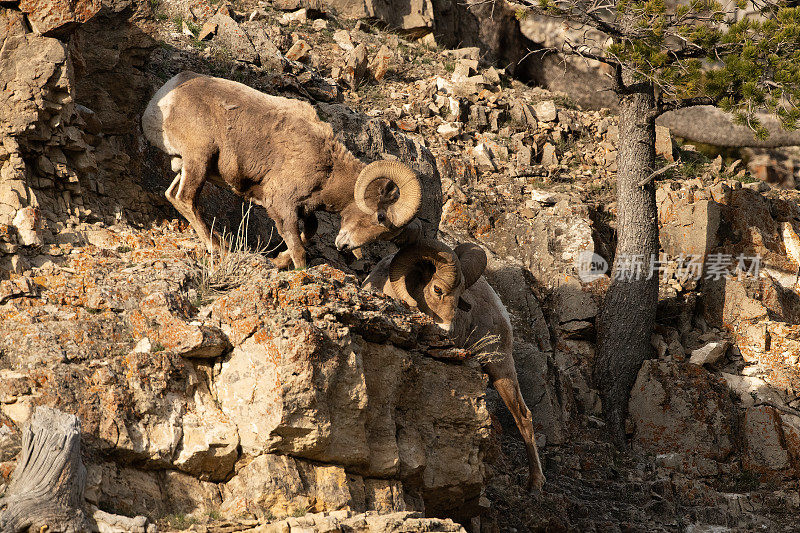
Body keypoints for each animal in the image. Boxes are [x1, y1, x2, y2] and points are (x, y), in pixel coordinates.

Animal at [141, 72, 422, 268]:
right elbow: (298, 249)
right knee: (186, 198)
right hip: (198, 159)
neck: (329, 169)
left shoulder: (304, 210)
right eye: (380, 217)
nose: (344, 246)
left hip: (186, 166)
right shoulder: (282, 205)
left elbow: (308, 234)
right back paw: (219, 247)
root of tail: (164, 97)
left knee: (172, 195)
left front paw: (278, 261)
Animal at [364, 239, 548, 488]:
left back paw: (535, 483)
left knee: (523, 417)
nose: (447, 331)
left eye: (460, 297)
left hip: (500, 365)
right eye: (437, 289)